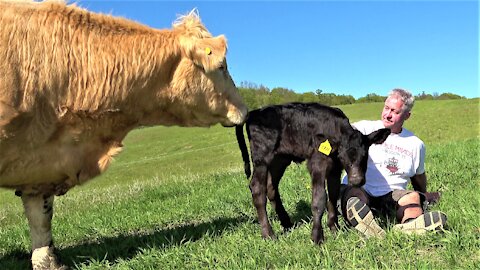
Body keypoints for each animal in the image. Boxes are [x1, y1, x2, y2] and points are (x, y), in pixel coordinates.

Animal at [236, 102, 390, 244]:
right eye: (342, 156)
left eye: (365, 155)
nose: (357, 180)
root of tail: (254, 113)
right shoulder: (317, 163)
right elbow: (319, 198)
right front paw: (317, 237)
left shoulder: (335, 169)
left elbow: (333, 197)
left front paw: (334, 228)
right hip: (261, 156)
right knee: (257, 188)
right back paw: (268, 234)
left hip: (280, 159)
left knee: (271, 187)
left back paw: (287, 224)